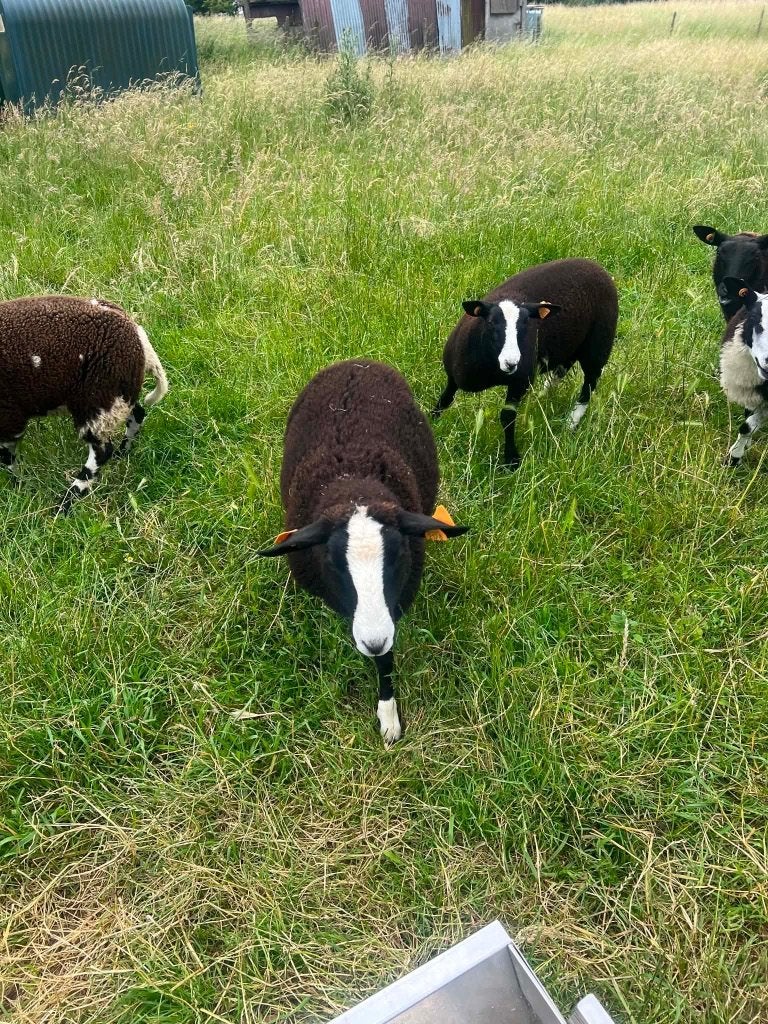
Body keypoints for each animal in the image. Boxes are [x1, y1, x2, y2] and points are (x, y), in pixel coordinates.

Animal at [0, 295, 168, 513]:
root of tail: (137, 334)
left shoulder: (8, 416)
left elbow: (7, 456)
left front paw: (20, 486)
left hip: (97, 399)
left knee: (101, 451)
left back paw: (66, 502)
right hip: (117, 394)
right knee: (137, 414)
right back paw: (123, 452)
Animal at [257, 359, 468, 746]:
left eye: (399, 557)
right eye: (333, 563)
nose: (372, 641)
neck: (352, 479)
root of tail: (357, 362)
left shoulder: (394, 605)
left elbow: (386, 660)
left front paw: (388, 718)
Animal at [432, 258, 618, 468]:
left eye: (526, 325)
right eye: (491, 323)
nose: (511, 362)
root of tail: (594, 264)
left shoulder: (519, 382)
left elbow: (507, 418)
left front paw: (511, 460)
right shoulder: (453, 376)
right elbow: (445, 399)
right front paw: (432, 421)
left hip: (598, 344)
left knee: (589, 383)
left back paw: (571, 422)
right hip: (570, 345)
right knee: (562, 369)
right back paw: (542, 396)